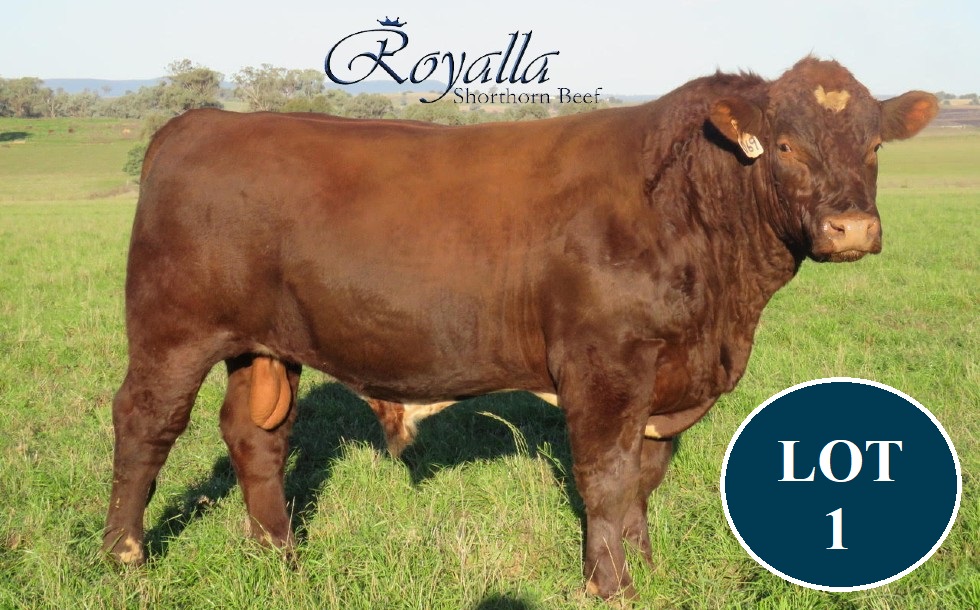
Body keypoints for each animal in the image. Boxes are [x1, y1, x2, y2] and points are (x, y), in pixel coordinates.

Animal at [103, 57, 937, 598]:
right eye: (787, 145)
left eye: (874, 145)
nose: (853, 227)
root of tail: (200, 122)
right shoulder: (604, 362)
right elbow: (605, 476)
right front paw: (609, 584)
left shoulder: (668, 373)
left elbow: (644, 477)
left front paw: (649, 569)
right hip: (172, 330)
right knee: (145, 424)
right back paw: (125, 556)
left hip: (262, 345)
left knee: (256, 436)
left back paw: (280, 558)